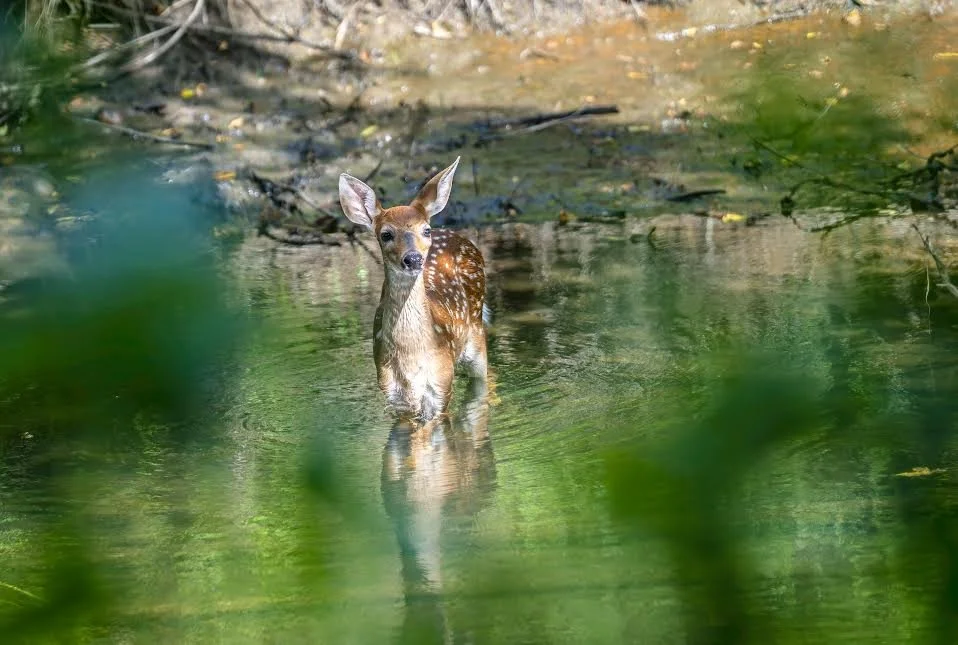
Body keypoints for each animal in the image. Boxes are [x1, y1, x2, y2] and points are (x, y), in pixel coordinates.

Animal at [339, 157, 488, 421]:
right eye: (386, 234)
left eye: (425, 230)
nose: (413, 258)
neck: (411, 356)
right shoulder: (392, 391)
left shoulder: (441, 383)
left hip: (477, 335)